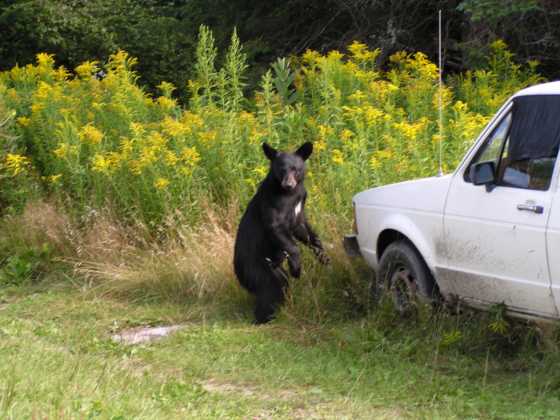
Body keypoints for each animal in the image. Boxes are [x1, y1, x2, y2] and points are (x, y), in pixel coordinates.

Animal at [234, 143, 330, 324]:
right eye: (281, 169)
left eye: (295, 169)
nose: (288, 184)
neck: (291, 194)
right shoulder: (274, 203)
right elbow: (277, 228)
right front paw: (296, 268)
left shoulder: (299, 206)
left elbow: (303, 229)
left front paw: (323, 255)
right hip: (256, 267)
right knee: (270, 288)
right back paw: (265, 318)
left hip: (275, 269)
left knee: (281, 283)